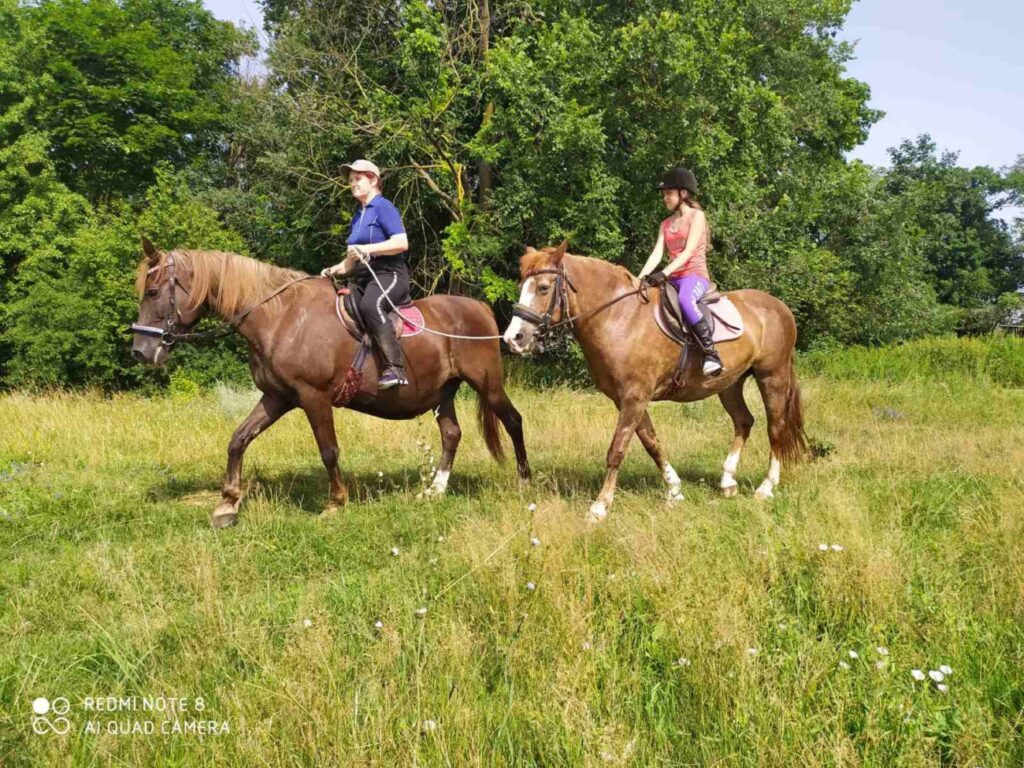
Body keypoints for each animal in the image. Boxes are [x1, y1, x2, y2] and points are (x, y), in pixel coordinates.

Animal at [132, 240, 532, 528]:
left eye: (152, 292)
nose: (141, 351)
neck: (280, 317)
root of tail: (479, 308)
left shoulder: (314, 397)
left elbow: (329, 451)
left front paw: (337, 502)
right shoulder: (276, 397)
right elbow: (239, 439)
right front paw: (227, 504)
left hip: (487, 384)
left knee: (513, 421)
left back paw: (524, 480)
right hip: (442, 392)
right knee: (451, 434)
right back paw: (435, 489)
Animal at [499, 243, 802, 528]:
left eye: (543, 287)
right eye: (522, 286)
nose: (514, 338)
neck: (618, 318)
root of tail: (779, 307)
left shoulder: (634, 397)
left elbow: (617, 450)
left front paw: (599, 507)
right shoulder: (627, 399)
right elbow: (651, 442)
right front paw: (674, 490)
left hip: (772, 376)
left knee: (775, 427)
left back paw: (766, 487)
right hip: (729, 384)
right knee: (744, 422)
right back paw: (727, 481)